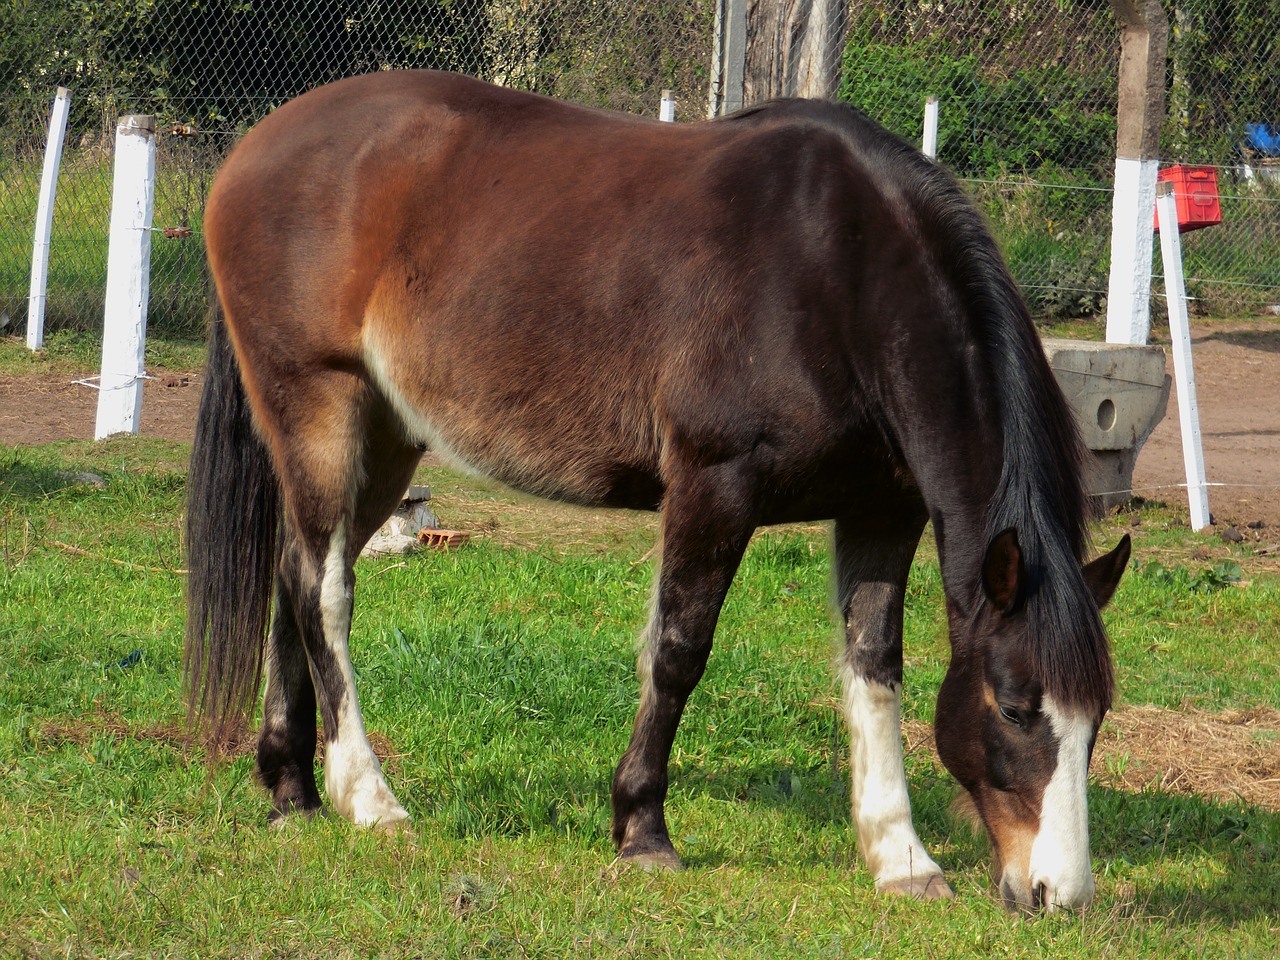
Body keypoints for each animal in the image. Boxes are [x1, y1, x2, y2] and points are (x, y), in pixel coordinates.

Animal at [183, 71, 1131, 911]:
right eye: (1015, 708)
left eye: (1098, 718)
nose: (1058, 895)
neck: (844, 270)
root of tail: (255, 146)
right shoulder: (715, 485)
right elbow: (679, 651)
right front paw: (642, 830)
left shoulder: (881, 510)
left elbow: (875, 668)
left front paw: (901, 857)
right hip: (318, 410)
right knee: (325, 593)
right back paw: (366, 795)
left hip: (384, 438)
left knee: (297, 576)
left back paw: (293, 790)